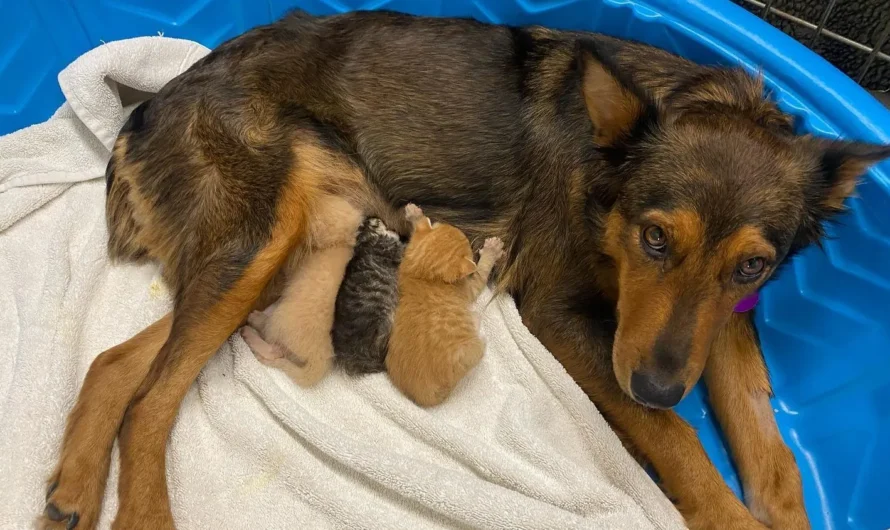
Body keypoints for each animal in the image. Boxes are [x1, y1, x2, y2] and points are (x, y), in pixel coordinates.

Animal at [386, 202, 502, 404]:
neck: (423, 275)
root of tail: (424, 396)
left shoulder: (409, 254)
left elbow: (416, 233)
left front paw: (415, 215)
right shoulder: (468, 289)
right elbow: (481, 272)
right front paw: (491, 252)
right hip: (472, 350)